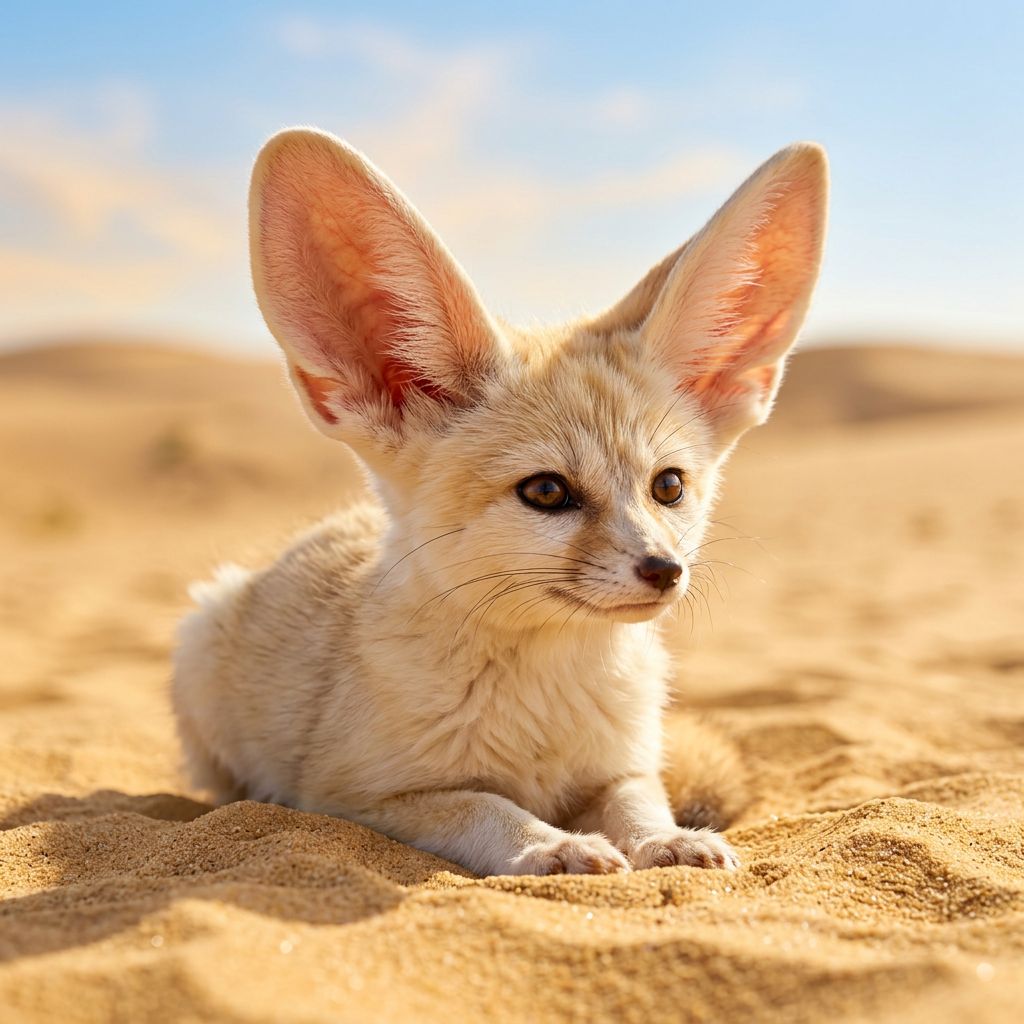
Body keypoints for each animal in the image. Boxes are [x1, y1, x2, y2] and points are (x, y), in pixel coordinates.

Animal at [172, 128, 828, 877]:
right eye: (546, 491)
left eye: (668, 486)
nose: (665, 571)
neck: (547, 693)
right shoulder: (361, 796)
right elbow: (487, 806)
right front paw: (554, 844)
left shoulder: (622, 767)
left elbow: (639, 800)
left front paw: (668, 839)